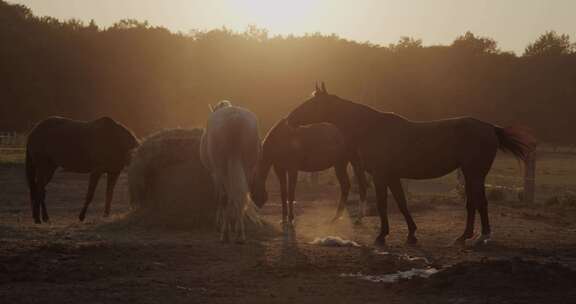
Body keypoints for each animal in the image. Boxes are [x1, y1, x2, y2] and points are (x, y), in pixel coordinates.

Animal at [199, 100, 260, 242]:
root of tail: (235, 118)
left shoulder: (215, 174)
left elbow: (220, 197)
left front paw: (221, 224)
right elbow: (233, 196)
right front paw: (233, 224)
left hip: (220, 169)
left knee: (224, 198)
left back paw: (225, 234)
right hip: (248, 168)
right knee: (241, 195)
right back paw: (239, 233)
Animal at [288, 83, 536, 247]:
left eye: (311, 103)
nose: (290, 118)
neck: (370, 128)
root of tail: (491, 128)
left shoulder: (380, 176)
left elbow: (382, 204)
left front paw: (382, 236)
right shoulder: (392, 176)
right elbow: (401, 203)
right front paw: (411, 234)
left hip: (474, 173)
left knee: (479, 202)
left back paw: (481, 236)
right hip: (470, 174)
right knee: (473, 203)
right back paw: (466, 236)